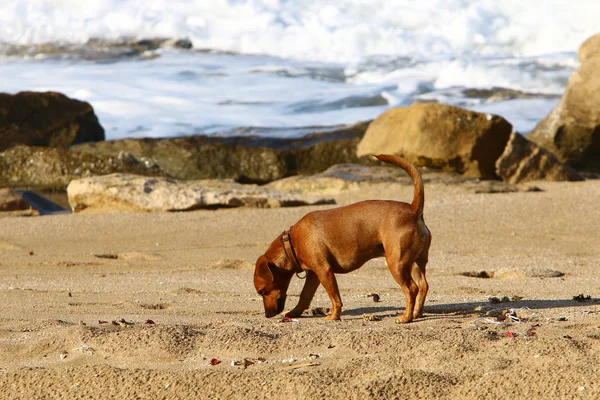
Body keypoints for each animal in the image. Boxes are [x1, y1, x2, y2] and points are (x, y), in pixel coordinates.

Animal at [253, 155, 432, 324]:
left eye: (262, 291)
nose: (267, 315)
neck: (291, 243)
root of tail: (413, 210)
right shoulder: (314, 275)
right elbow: (304, 296)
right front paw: (295, 312)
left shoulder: (324, 271)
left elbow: (335, 298)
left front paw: (334, 316)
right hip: (414, 263)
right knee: (423, 286)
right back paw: (416, 313)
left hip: (396, 264)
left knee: (411, 289)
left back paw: (406, 317)